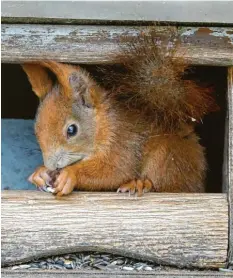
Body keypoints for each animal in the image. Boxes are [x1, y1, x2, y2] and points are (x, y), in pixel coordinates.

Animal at [20, 29, 218, 197]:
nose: (52, 166)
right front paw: (40, 173)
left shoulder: (123, 141)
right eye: (36, 130)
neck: (104, 124)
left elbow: (115, 171)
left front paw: (70, 174)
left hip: (167, 157)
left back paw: (139, 183)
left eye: (72, 130)